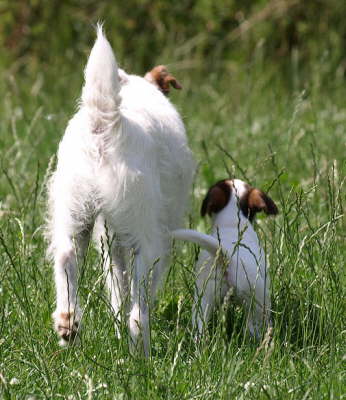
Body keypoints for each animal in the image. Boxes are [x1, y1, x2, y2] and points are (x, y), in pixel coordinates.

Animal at [46, 26, 195, 354]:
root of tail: (104, 122)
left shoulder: (109, 238)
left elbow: (117, 286)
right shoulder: (160, 237)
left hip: (74, 212)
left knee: (66, 257)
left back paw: (68, 324)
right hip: (145, 236)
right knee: (138, 313)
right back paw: (143, 352)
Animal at [173, 180, 278, 340]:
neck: (232, 222)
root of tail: (227, 256)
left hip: (203, 299)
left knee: (199, 327)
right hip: (257, 301)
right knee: (254, 328)